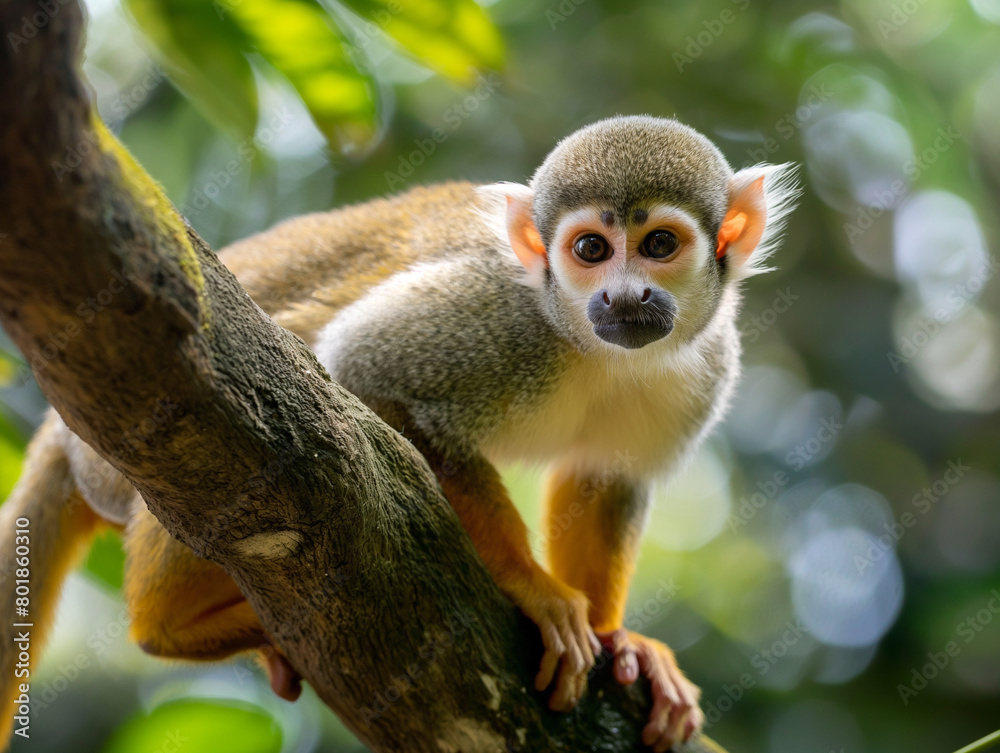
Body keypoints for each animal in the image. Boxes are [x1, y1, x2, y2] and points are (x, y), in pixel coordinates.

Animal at [0, 115, 797, 752]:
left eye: (659, 243)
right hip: (112, 452)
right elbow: (360, 368)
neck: (585, 341)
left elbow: (607, 479)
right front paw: (534, 589)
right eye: (592, 250)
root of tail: (57, 429)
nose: (623, 297)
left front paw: (617, 641)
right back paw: (168, 627)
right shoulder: (497, 316)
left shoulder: (710, 364)